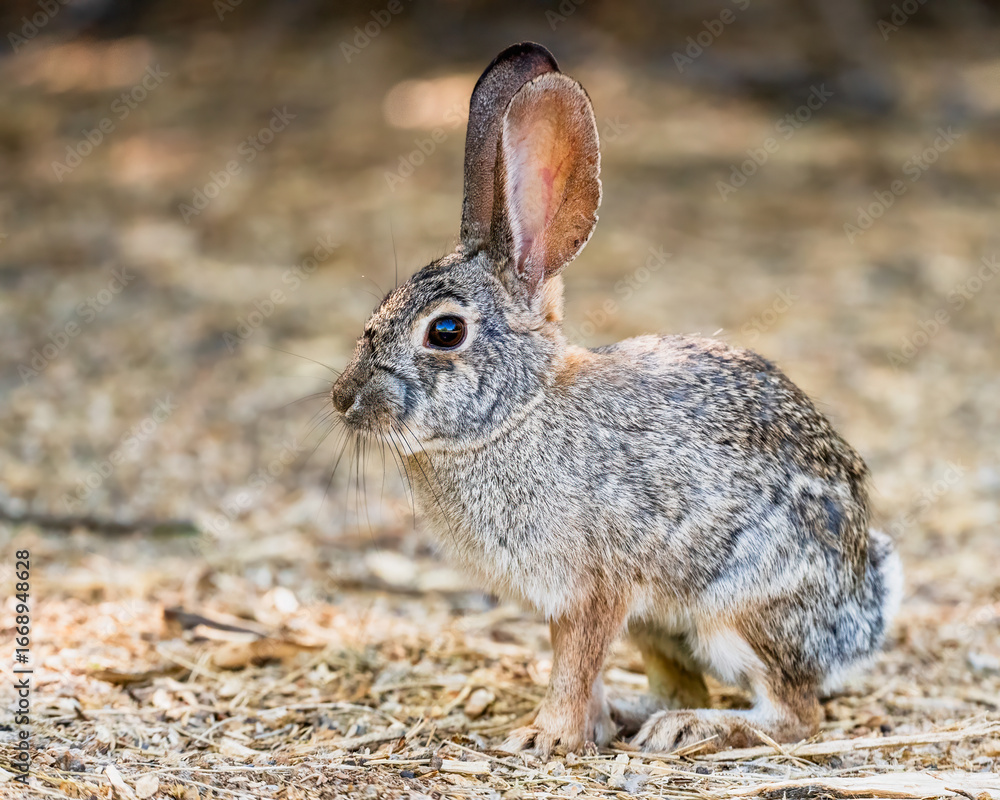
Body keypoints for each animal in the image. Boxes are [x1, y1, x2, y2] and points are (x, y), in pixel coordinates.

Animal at [330, 42, 902, 757]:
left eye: (445, 332)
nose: (343, 398)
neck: (516, 414)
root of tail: (864, 609)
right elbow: (581, 669)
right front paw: (578, 728)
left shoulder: (593, 590)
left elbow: (574, 664)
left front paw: (543, 737)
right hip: (659, 625)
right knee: (684, 685)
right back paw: (638, 719)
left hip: (739, 610)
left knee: (796, 715)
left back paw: (693, 728)